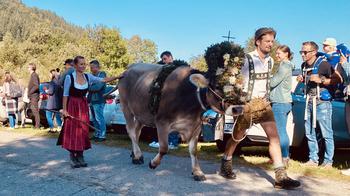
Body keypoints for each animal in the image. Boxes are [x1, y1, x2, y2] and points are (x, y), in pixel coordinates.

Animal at [115, 62, 243, 181]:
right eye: (217, 86)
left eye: (239, 88)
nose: (238, 108)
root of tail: (128, 69)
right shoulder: (162, 122)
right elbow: (164, 148)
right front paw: (153, 163)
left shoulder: (195, 126)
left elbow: (193, 150)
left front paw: (197, 172)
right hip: (126, 108)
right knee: (131, 131)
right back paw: (137, 155)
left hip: (141, 115)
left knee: (137, 132)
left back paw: (134, 155)